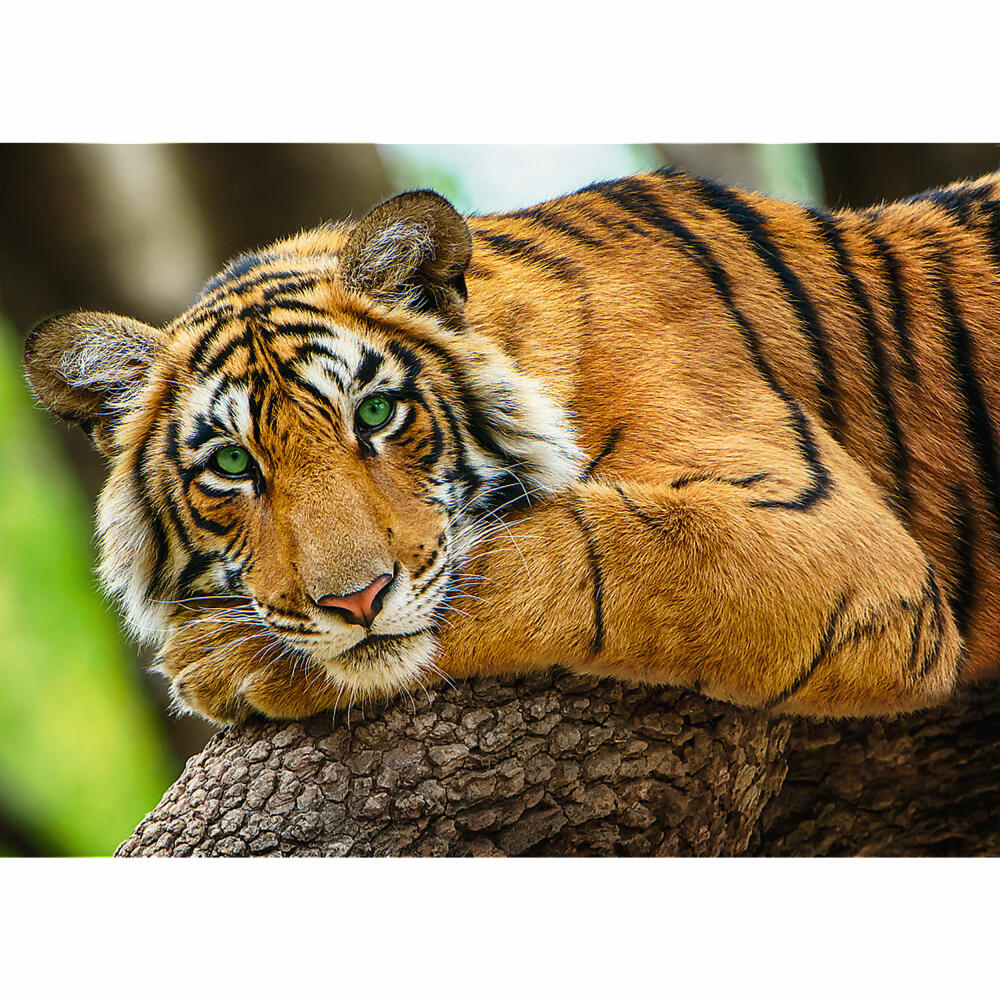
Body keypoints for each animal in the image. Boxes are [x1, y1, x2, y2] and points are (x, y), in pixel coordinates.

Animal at [24, 166, 1000, 726]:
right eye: (231, 464)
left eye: (376, 414)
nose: (355, 602)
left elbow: (570, 554)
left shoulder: (834, 540)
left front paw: (221, 660)